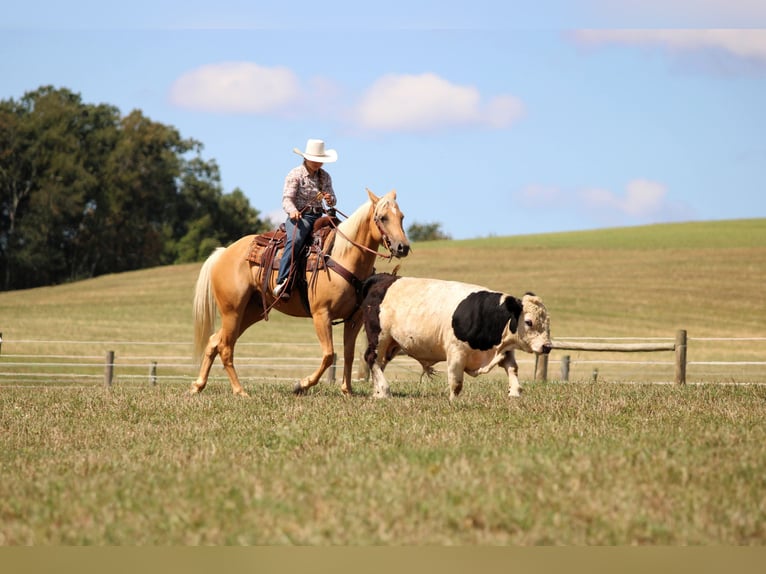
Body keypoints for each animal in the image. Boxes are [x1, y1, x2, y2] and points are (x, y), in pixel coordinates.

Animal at [191, 188, 410, 397]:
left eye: (401, 216)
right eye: (383, 217)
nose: (403, 247)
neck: (342, 256)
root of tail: (224, 253)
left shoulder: (353, 320)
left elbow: (348, 354)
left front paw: (347, 390)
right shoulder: (321, 314)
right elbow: (328, 355)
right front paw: (301, 385)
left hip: (250, 312)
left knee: (214, 341)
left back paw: (198, 386)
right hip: (232, 311)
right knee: (225, 348)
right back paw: (239, 391)